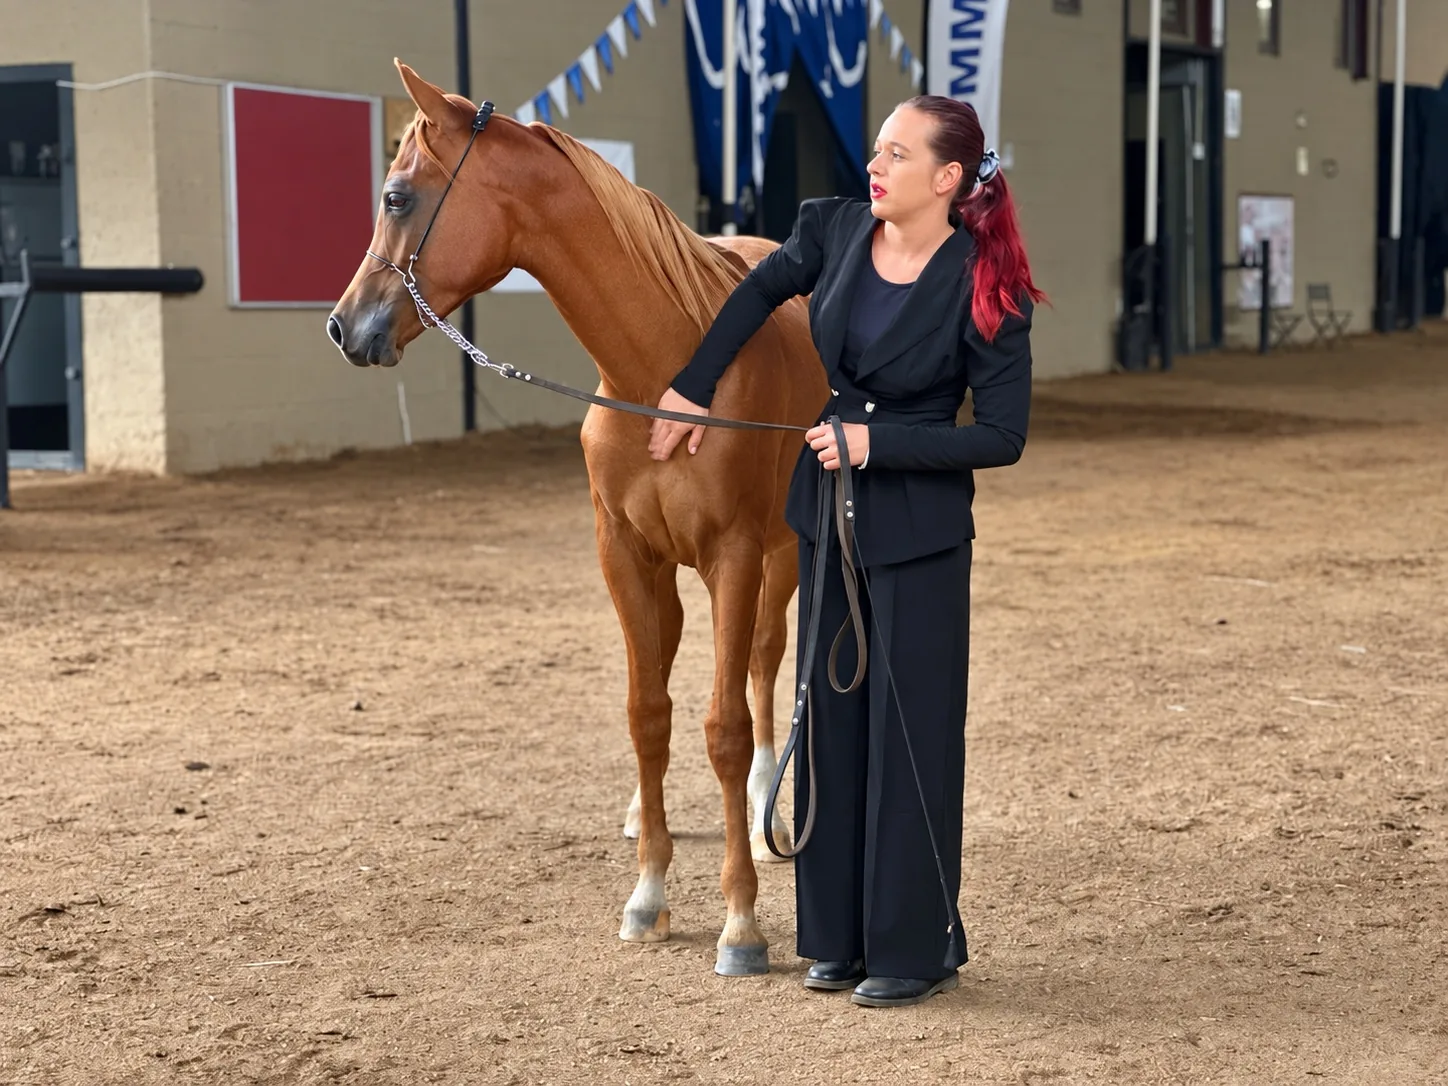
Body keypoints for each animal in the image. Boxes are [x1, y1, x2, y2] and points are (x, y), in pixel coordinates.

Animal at [326, 60, 830, 976]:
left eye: (396, 196)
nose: (343, 325)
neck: (669, 366)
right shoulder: (624, 556)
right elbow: (646, 714)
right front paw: (649, 893)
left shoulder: (736, 556)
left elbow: (726, 727)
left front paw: (741, 921)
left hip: (782, 560)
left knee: (763, 667)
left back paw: (765, 803)